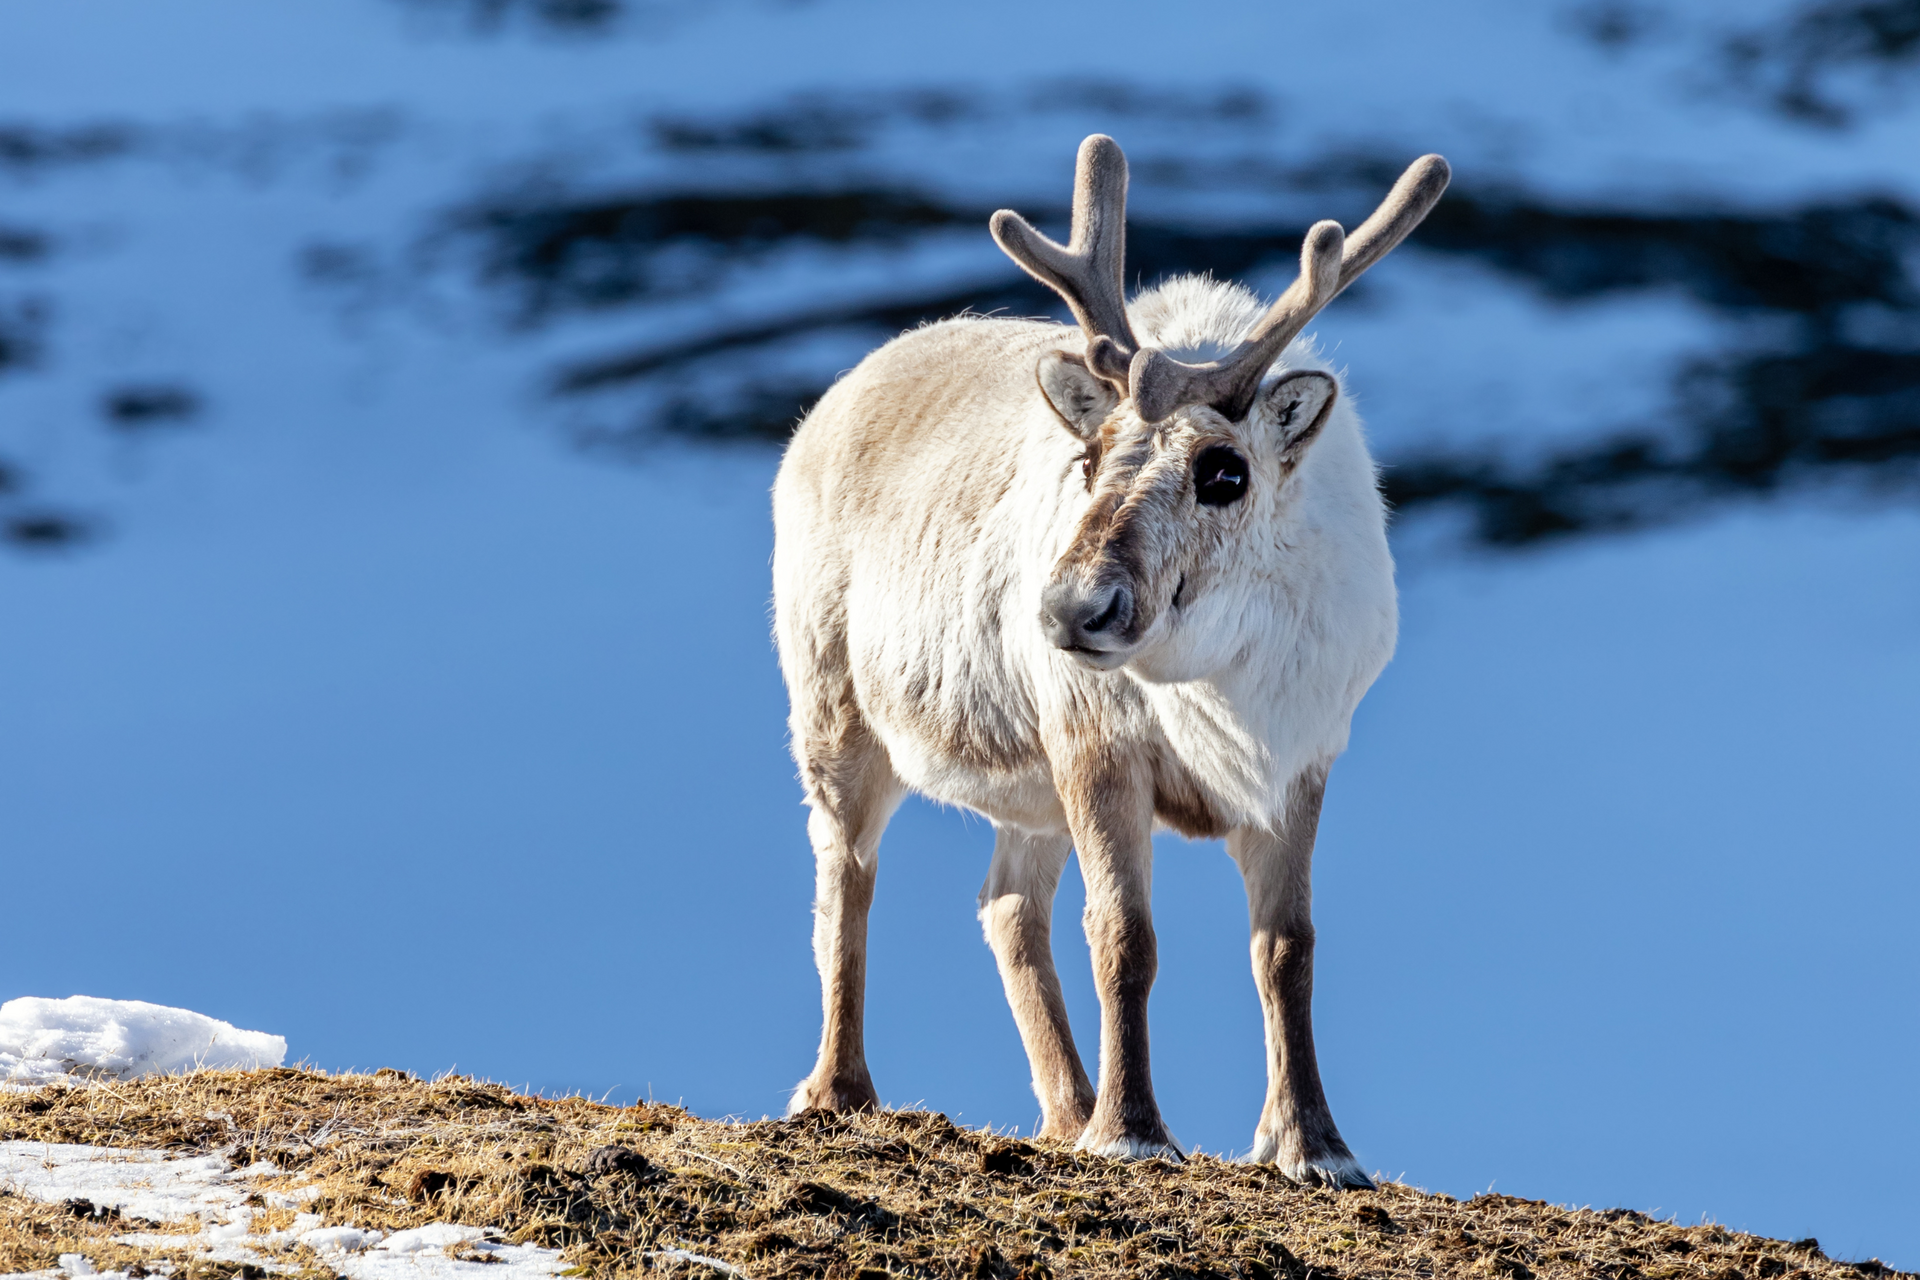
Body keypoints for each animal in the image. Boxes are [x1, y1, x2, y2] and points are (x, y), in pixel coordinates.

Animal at [771, 134, 1448, 1184]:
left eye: (1226, 471)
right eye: (1088, 459)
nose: (1069, 608)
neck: (1219, 690)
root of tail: (836, 398)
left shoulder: (1302, 757)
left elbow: (1285, 947)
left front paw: (1311, 1145)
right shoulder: (1097, 741)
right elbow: (1124, 936)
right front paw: (1133, 1130)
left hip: (1028, 788)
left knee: (1007, 905)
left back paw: (1064, 1109)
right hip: (835, 708)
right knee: (846, 875)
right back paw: (841, 1090)